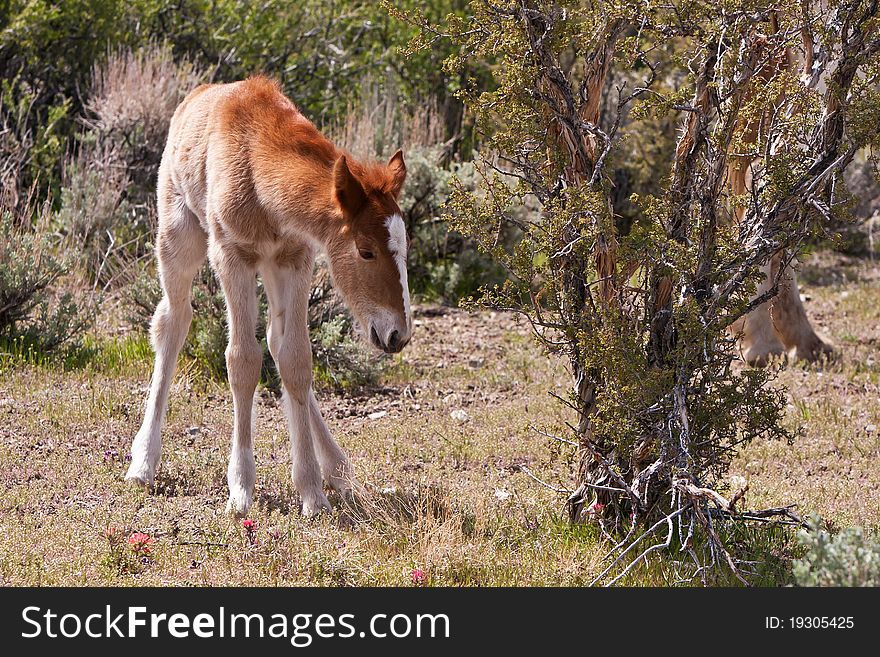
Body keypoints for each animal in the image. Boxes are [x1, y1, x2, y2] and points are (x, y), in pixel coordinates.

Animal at [124, 77, 412, 516]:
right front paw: (241, 488)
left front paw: (312, 490)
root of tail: (194, 96)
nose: (399, 334)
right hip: (178, 236)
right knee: (172, 322)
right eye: (366, 251)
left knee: (278, 344)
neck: (260, 181)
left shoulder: (296, 258)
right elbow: (242, 360)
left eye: (406, 246)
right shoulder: (231, 256)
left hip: (272, 271)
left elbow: (296, 360)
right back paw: (143, 461)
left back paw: (337, 468)